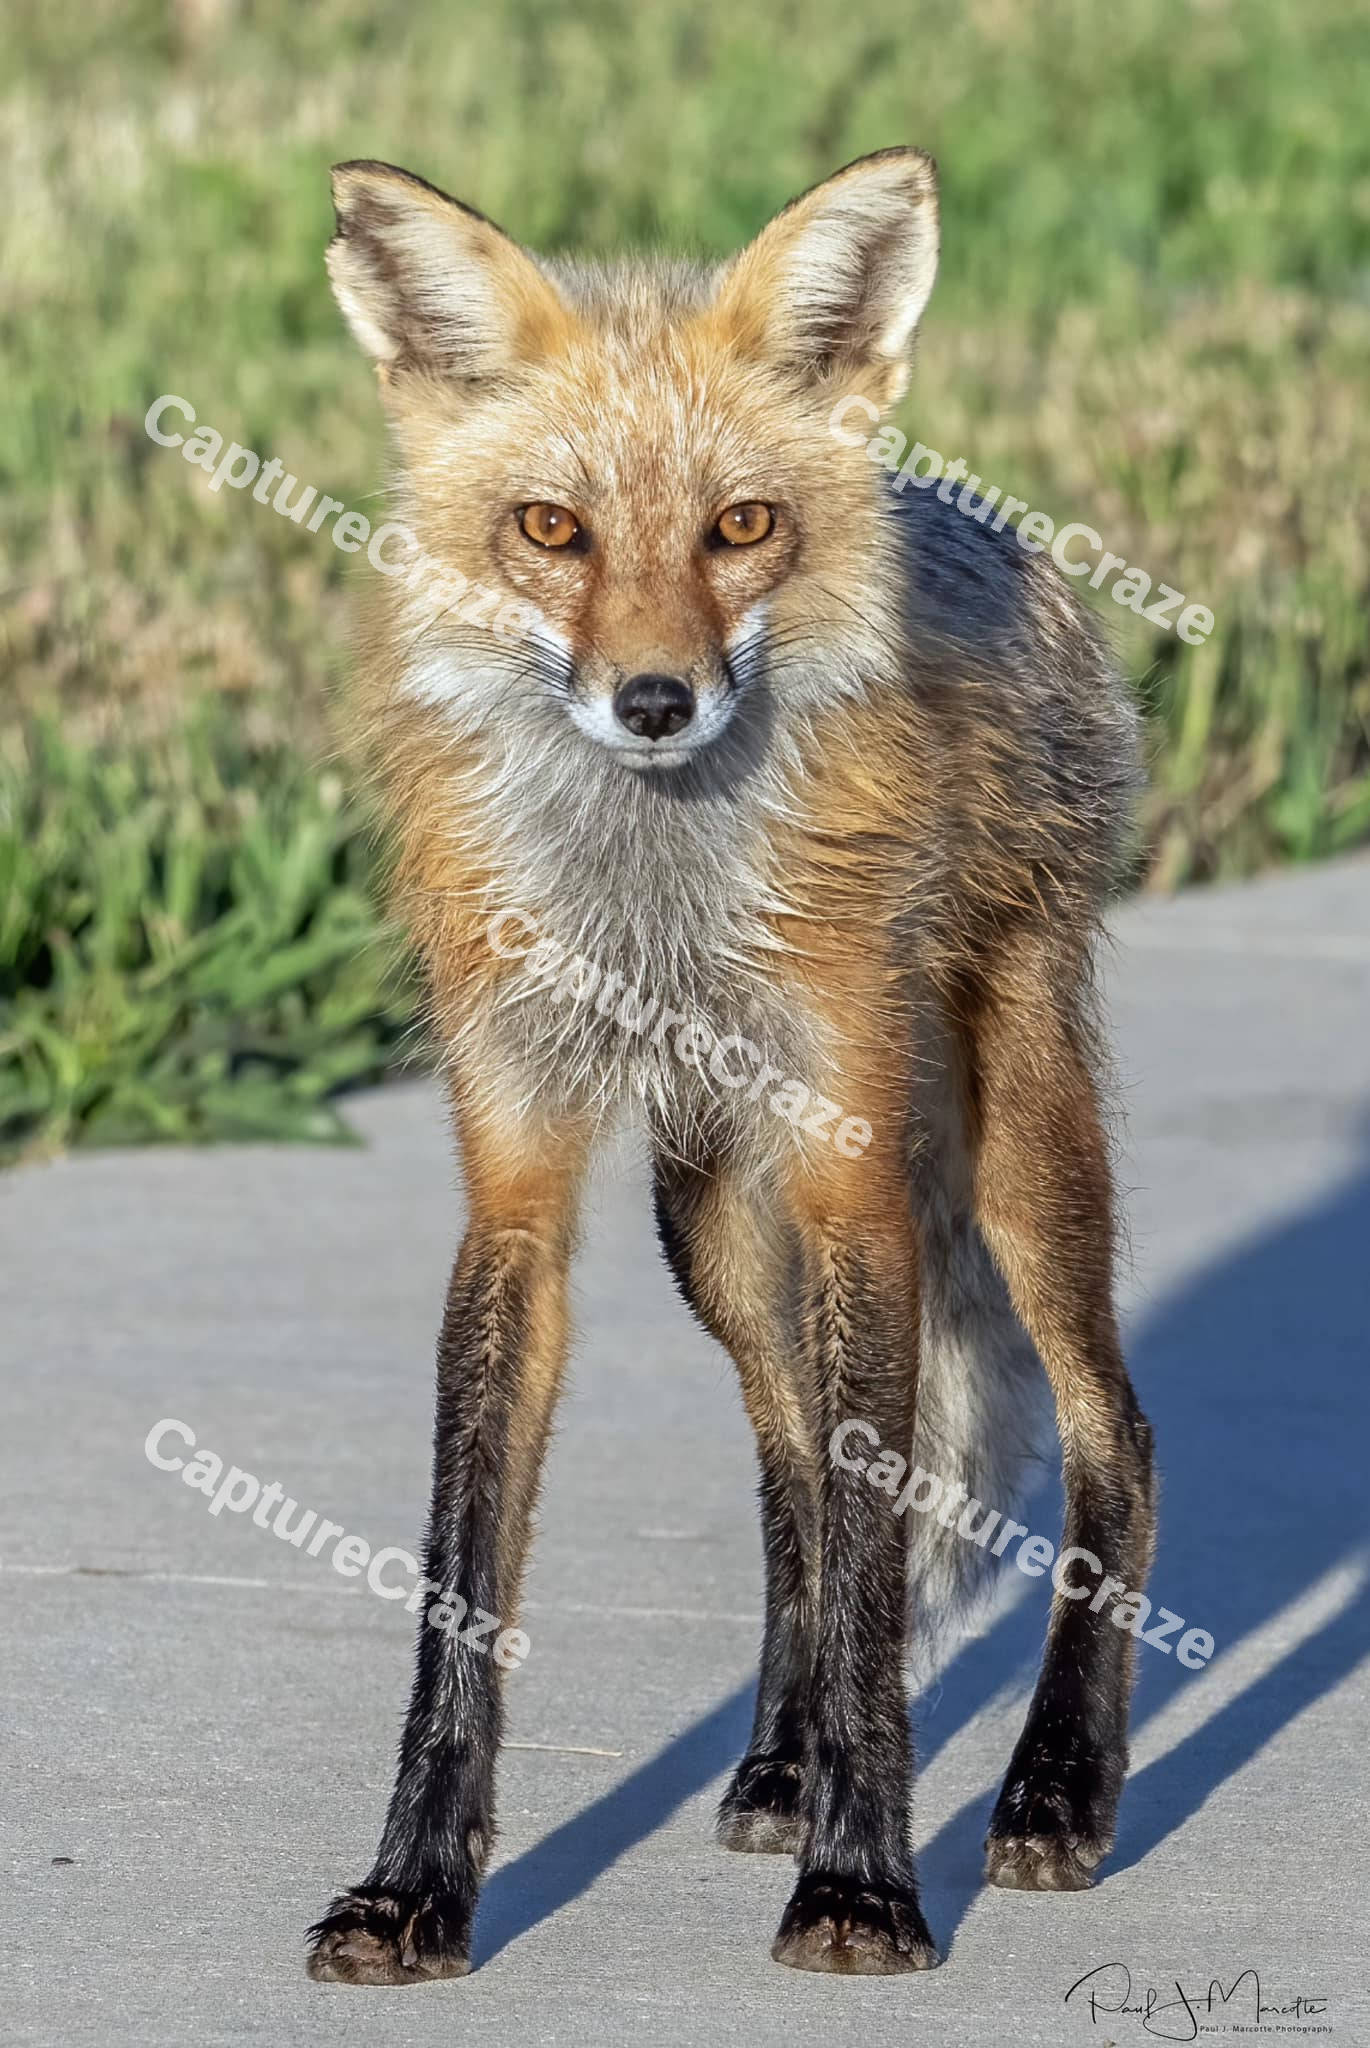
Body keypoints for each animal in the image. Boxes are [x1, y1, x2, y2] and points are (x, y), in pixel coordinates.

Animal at [305, 146, 1156, 1983]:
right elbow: (468, 1580)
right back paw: (781, 1756)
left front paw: (864, 1884)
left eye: (742, 525)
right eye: (550, 528)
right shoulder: (520, 1184)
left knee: (1111, 1431)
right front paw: (414, 1889)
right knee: (790, 1474)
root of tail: (980, 515)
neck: (653, 905)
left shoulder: (853, 1181)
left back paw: (1058, 1784)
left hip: (1012, 1144)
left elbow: (882, 1566)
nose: (654, 699)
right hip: (706, 1217)